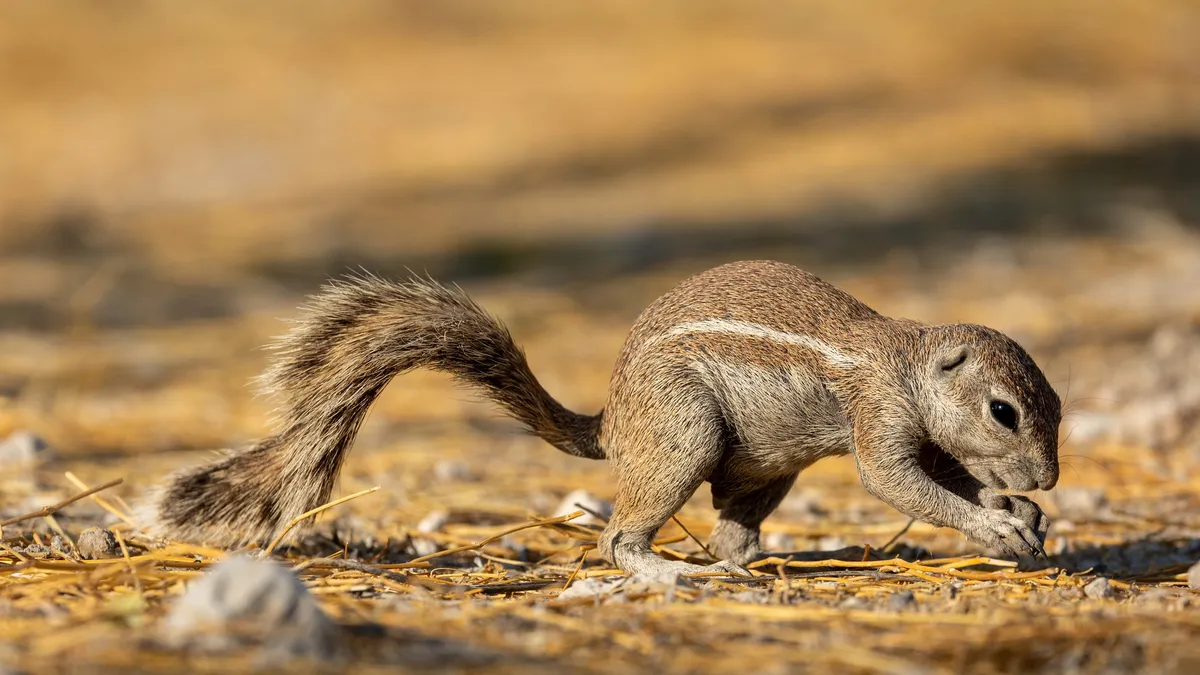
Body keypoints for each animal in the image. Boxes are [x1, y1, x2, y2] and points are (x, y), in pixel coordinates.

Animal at [144, 260, 1061, 576]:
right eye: (1005, 410)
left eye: (1054, 406)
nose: (1050, 476)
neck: (901, 360)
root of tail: (613, 425)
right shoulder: (878, 419)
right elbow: (901, 482)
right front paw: (996, 523)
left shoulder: (914, 427)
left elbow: (941, 472)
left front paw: (1015, 509)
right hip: (684, 434)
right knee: (619, 538)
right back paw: (672, 571)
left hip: (760, 467)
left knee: (731, 532)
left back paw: (753, 571)